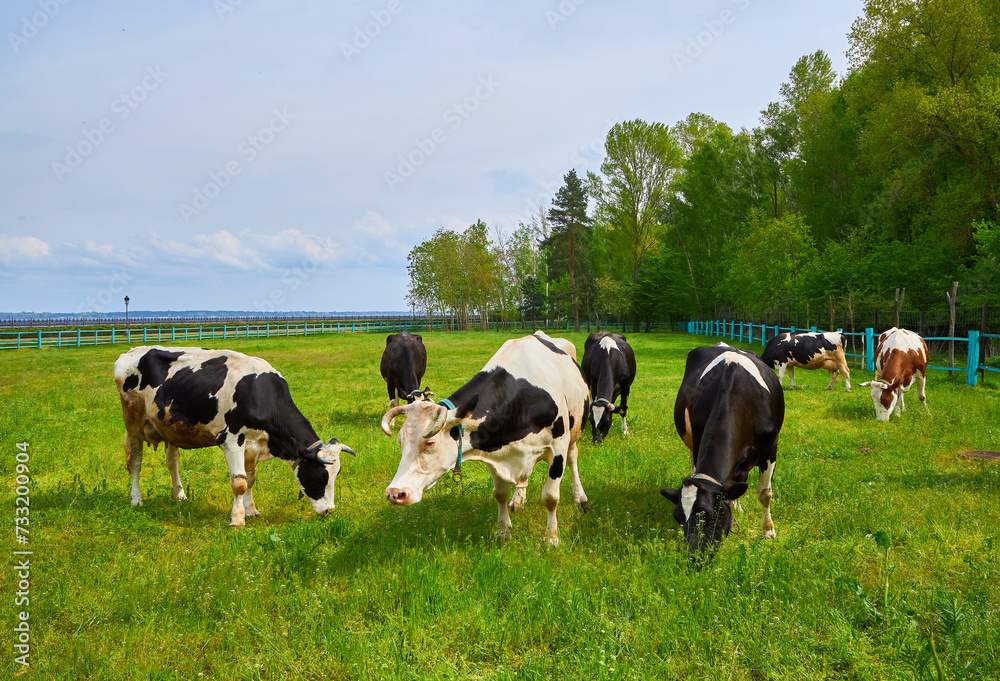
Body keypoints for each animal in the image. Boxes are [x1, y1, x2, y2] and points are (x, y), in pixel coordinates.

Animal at [114, 346, 356, 524]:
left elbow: (250, 480)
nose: (329, 511)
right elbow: (239, 482)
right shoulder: (231, 439)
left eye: (336, 474)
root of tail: (131, 351)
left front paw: (251, 511)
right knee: (136, 462)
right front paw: (237, 520)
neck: (259, 394)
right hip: (132, 422)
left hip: (170, 427)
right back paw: (136, 499)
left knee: (172, 462)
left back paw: (179, 495)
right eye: (321, 476)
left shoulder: (253, 444)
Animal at [378, 326, 588, 544]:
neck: (521, 400)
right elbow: (500, 494)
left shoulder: (557, 448)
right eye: (401, 442)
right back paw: (518, 499)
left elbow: (550, 497)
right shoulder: (495, 452)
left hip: (575, 431)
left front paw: (551, 539)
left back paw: (580, 498)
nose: (395, 493)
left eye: (430, 442)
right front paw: (503, 531)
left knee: (573, 458)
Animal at [660, 342, 784, 560]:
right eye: (678, 518)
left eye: (709, 514)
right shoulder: (698, 440)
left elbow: (765, 493)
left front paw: (768, 531)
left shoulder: (770, 450)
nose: (696, 557)